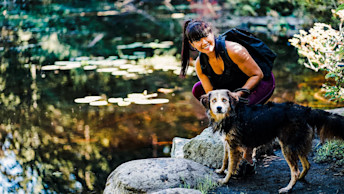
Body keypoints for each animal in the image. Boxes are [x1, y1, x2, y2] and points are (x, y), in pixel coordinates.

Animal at [200, 89, 344, 192]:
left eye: (224, 100)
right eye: (214, 101)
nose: (219, 108)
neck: (231, 114)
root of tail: (304, 110)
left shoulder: (233, 146)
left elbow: (230, 165)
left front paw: (225, 180)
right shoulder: (227, 142)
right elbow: (225, 160)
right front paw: (220, 171)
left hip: (287, 145)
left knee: (295, 171)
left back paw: (288, 188)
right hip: (296, 144)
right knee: (307, 165)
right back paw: (301, 179)